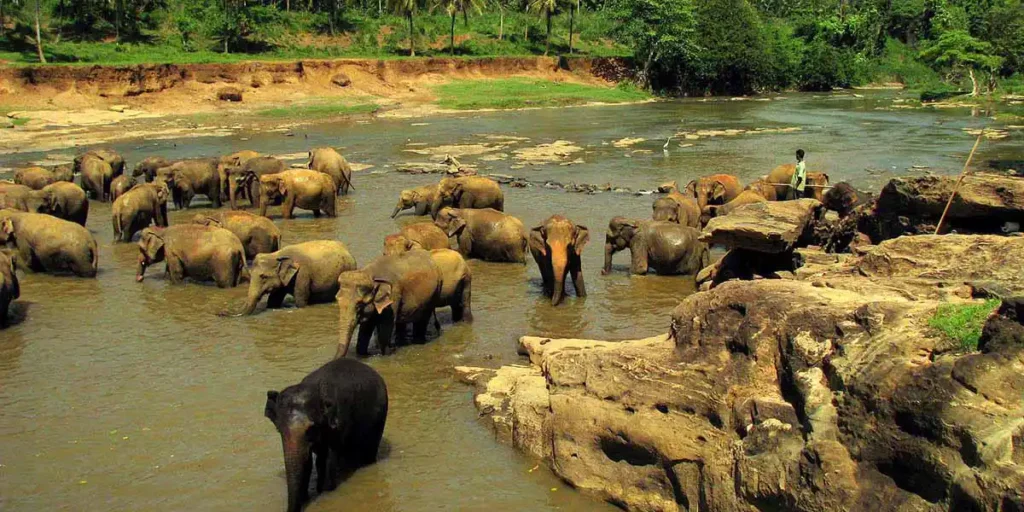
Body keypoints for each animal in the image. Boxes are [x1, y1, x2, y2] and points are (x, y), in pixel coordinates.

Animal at [264, 358, 387, 512]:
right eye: (279, 429)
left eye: (311, 428)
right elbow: (307, 462)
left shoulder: (339, 424)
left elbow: (329, 458)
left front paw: (325, 493)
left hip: (379, 420)